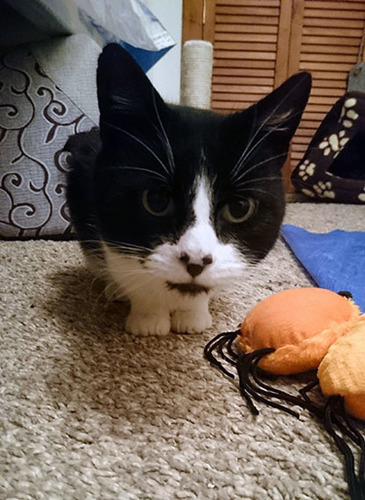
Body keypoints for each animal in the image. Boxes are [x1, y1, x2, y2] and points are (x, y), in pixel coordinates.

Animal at [65, 44, 310, 336]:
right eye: (157, 200)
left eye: (239, 208)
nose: (196, 260)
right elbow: (126, 266)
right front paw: (148, 319)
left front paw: (192, 315)